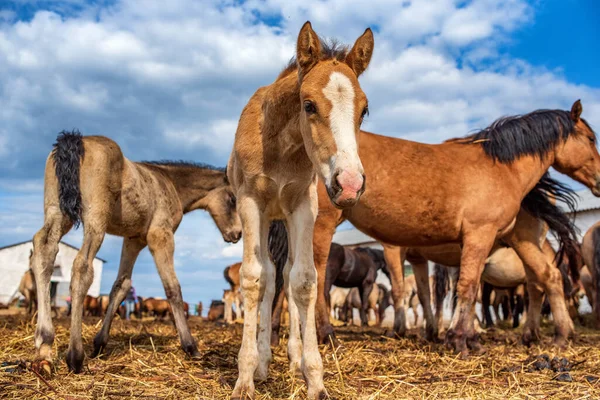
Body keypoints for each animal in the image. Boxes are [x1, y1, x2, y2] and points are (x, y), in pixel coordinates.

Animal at [29, 131, 241, 376]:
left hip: (58, 212)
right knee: (82, 266)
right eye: (233, 199)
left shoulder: (133, 239)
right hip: (95, 219)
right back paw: (75, 356)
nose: (237, 234)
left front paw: (99, 343)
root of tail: (76, 140)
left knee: (44, 250)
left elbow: (121, 286)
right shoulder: (160, 235)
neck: (171, 183)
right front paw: (190, 346)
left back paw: (44, 347)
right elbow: (172, 288)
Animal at [227, 22, 372, 400]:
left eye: (364, 110)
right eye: (309, 105)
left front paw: (315, 379)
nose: (349, 184)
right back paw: (263, 362)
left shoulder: (304, 206)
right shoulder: (251, 203)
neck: (280, 145)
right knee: (268, 275)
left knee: (288, 273)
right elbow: (253, 279)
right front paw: (245, 377)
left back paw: (293, 359)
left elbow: (304, 280)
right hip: (267, 219)